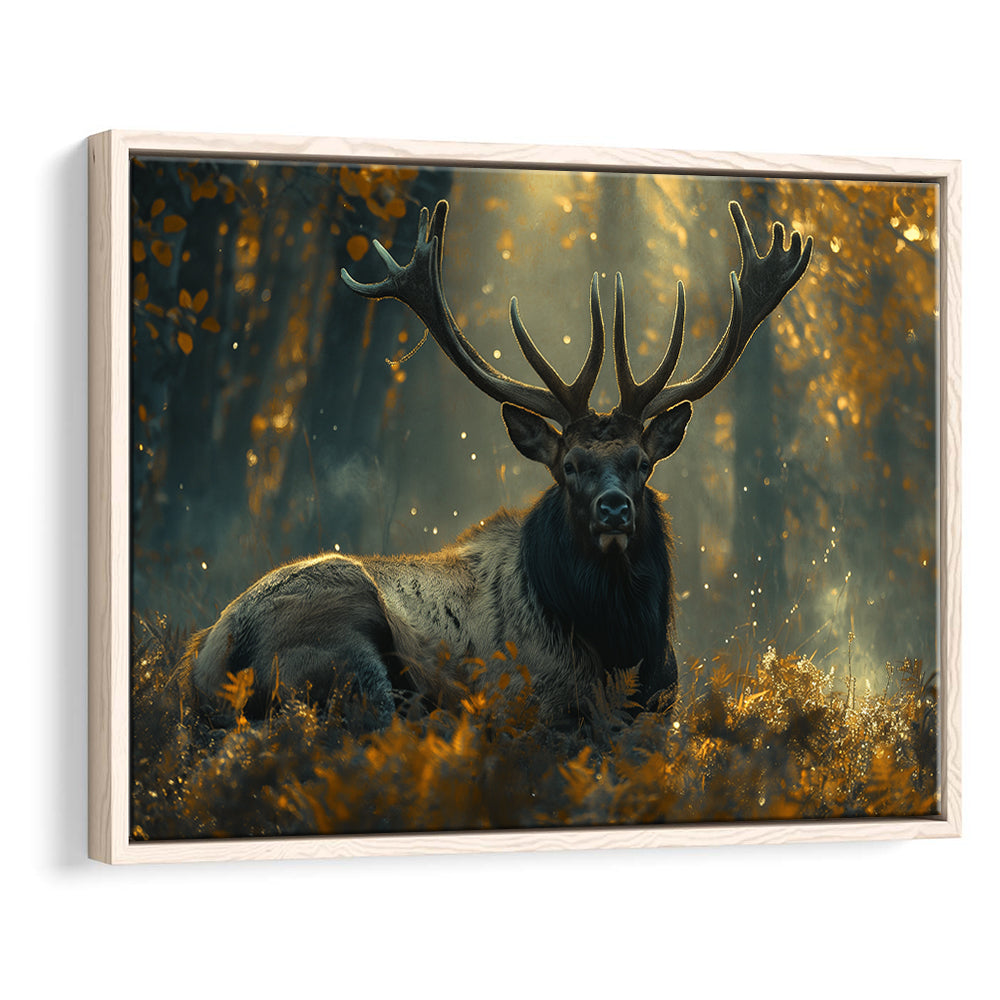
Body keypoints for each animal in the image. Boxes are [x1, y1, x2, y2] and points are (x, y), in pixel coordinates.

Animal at [184, 198, 812, 732]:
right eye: (570, 465)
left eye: (640, 462)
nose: (614, 509)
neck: (626, 648)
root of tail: (213, 659)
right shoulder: (542, 699)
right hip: (342, 636)